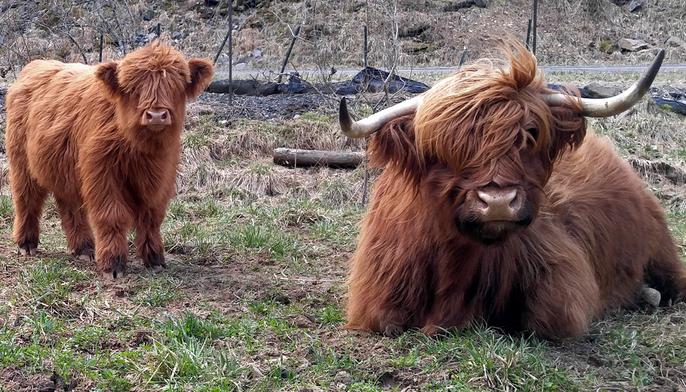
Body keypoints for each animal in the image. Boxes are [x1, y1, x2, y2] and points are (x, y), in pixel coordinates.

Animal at [5, 41, 214, 278]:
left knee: (70, 207)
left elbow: (152, 218)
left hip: (65, 168)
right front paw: (113, 265)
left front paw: (154, 258)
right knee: (26, 199)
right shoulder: (102, 174)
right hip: (22, 164)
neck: (141, 148)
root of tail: (36, 65)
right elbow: (112, 216)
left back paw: (84, 248)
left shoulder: (161, 177)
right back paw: (26, 244)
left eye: (175, 85)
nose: (156, 115)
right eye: (133, 88)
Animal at [342, 42, 686, 336]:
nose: (497, 202)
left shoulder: (563, 276)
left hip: (660, 246)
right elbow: (386, 320)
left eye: (530, 134)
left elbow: (546, 318)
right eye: (443, 146)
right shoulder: (376, 298)